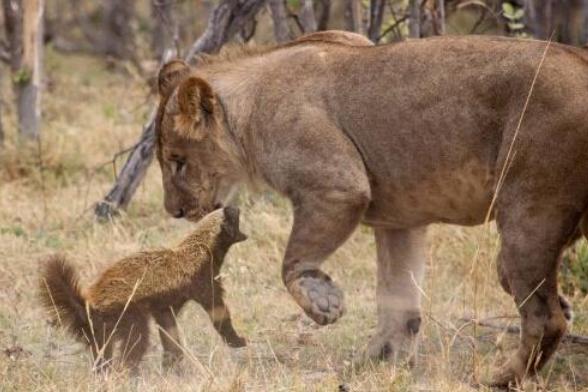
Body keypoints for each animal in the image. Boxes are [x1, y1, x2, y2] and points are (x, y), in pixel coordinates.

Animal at [39, 207, 246, 372]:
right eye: (233, 216)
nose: (236, 206)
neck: (201, 248)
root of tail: (88, 306)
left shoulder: (164, 305)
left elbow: (169, 331)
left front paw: (172, 362)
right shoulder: (203, 280)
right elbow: (218, 311)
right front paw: (237, 341)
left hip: (102, 331)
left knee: (102, 352)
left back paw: (104, 373)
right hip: (128, 314)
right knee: (136, 341)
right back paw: (127, 372)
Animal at [153, 30, 588, 386]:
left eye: (177, 161)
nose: (174, 212)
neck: (247, 113)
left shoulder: (339, 186)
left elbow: (292, 262)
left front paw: (323, 303)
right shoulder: (400, 219)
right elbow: (397, 300)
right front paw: (376, 362)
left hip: (529, 212)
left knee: (544, 317)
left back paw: (499, 379)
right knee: (525, 290)